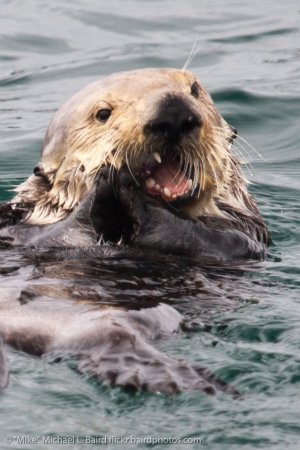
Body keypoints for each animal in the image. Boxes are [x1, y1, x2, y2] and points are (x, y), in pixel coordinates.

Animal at [0, 67, 270, 394]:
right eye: (103, 113)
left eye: (194, 90)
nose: (173, 112)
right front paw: (103, 179)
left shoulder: (244, 232)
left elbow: (214, 239)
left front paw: (129, 193)